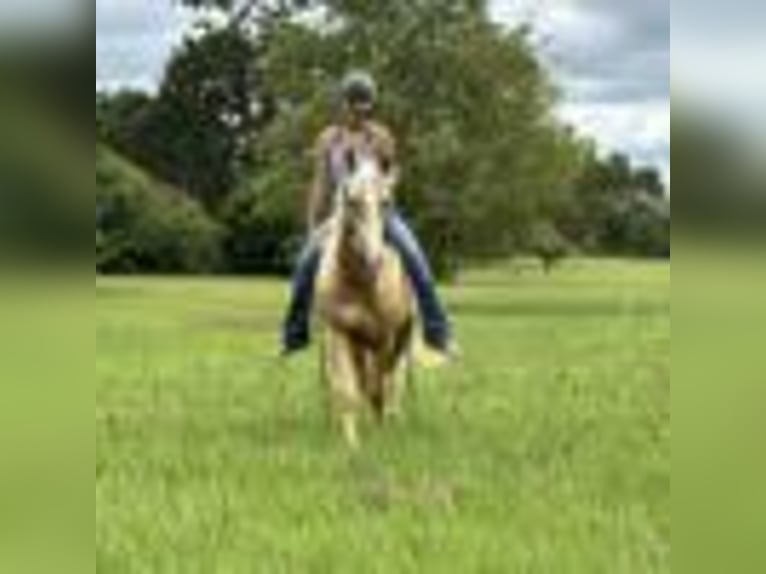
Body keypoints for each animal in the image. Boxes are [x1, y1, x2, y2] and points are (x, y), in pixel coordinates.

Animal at [314, 153, 415, 449]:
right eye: (351, 200)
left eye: (386, 202)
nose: (374, 261)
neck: (360, 284)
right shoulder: (340, 332)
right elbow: (350, 389)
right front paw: (352, 443)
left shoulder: (386, 337)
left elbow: (379, 386)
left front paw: (381, 432)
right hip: (359, 343)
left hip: (402, 338)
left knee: (394, 382)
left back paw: (393, 421)